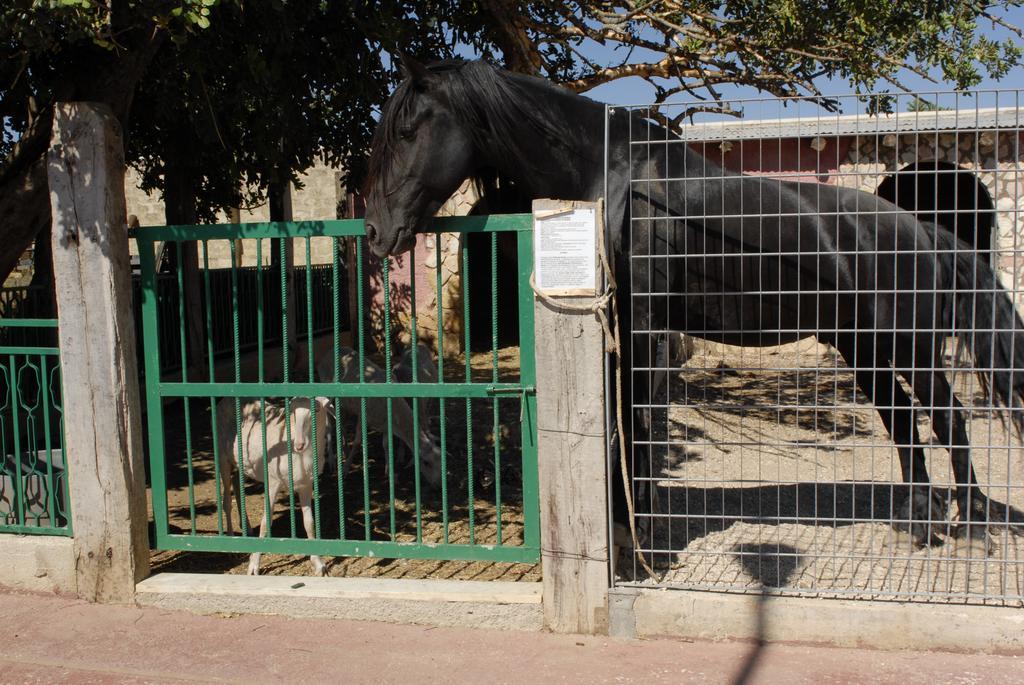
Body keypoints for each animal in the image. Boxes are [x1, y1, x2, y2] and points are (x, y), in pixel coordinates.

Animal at [216, 393, 331, 573]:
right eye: (293, 411)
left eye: (317, 410)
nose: (299, 444)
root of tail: (225, 400)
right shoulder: (273, 482)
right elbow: (265, 521)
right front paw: (254, 566)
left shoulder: (306, 485)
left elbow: (309, 522)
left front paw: (318, 564)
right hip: (223, 457)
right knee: (227, 501)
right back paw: (231, 541)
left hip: (242, 463)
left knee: (237, 485)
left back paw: (247, 528)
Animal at [315, 344, 444, 483]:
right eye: (426, 462)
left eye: (442, 461)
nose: (438, 484)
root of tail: (329, 351)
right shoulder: (363, 415)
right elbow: (358, 441)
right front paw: (345, 469)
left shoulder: (385, 424)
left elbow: (386, 444)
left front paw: (390, 473)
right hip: (328, 391)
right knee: (329, 424)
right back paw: (332, 461)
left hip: (345, 405)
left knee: (342, 425)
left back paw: (344, 451)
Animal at [362, 56, 1024, 552]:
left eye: (406, 131)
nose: (374, 231)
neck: (617, 179)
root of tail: (925, 232)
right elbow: (622, 424)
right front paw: (630, 524)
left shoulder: (645, 331)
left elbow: (638, 425)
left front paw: (641, 534)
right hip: (865, 349)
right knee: (905, 424)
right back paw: (917, 526)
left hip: (909, 348)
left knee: (949, 420)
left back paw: (971, 529)